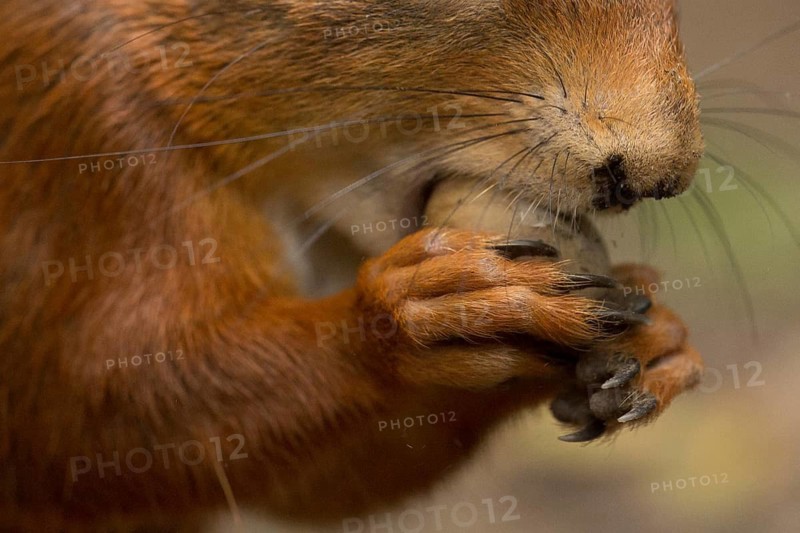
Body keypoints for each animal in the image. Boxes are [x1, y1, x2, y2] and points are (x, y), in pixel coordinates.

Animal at [0, 0, 705, 530]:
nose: (657, 177)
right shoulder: (91, 126)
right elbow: (88, 424)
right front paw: (431, 312)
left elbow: (315, 490)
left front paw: (659, 344)